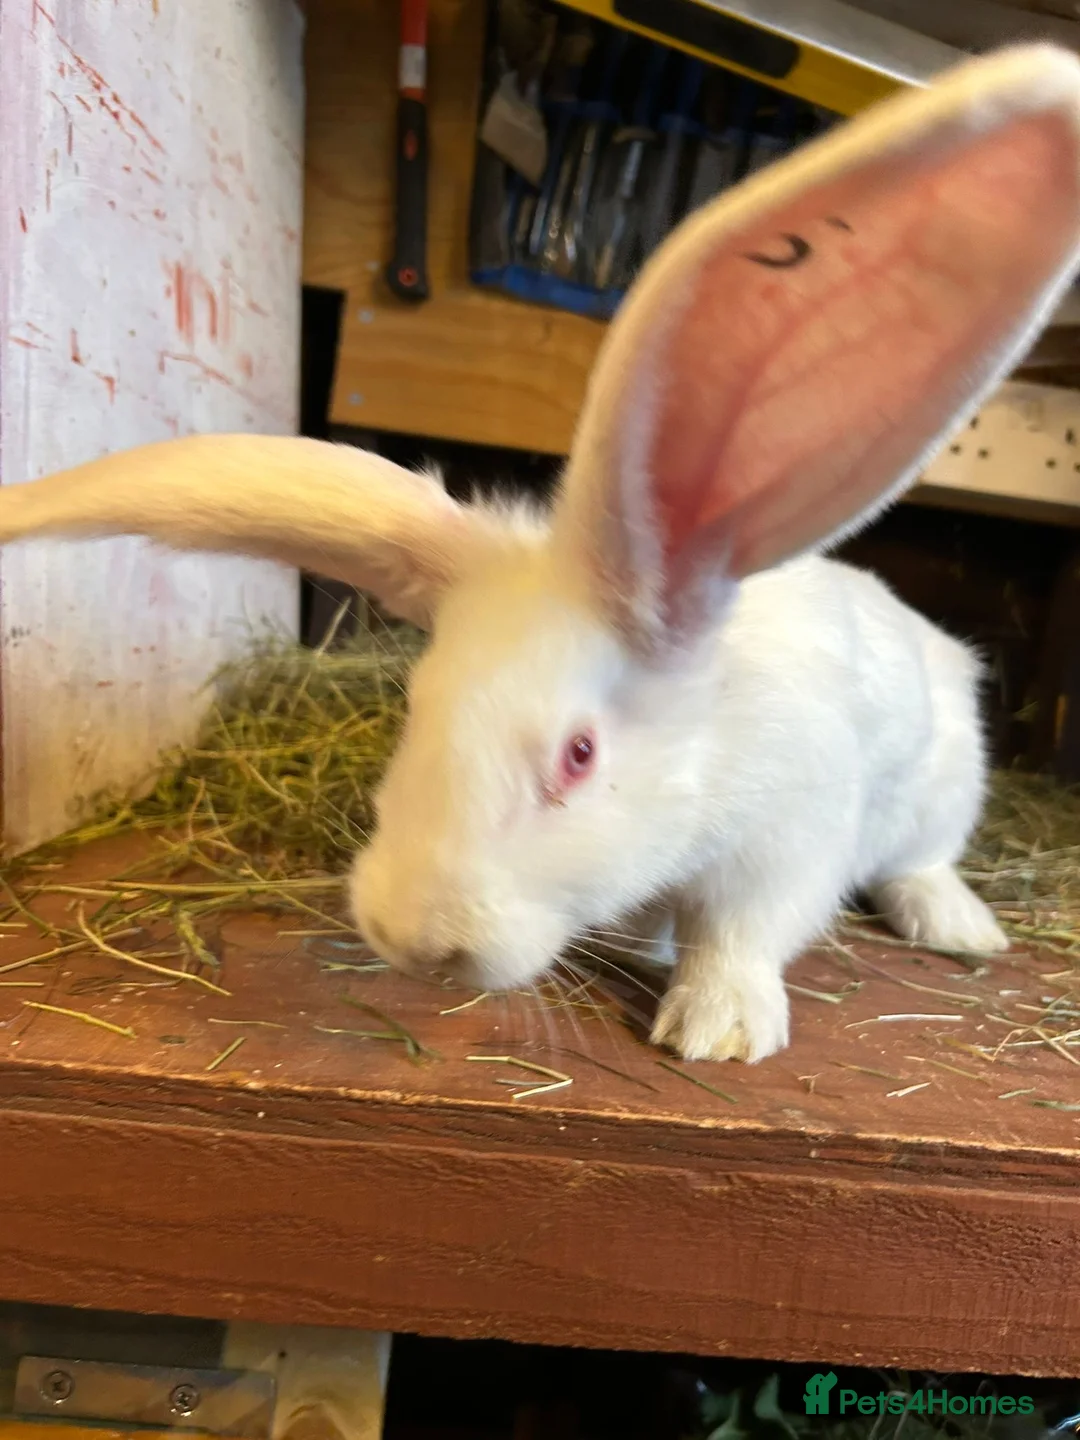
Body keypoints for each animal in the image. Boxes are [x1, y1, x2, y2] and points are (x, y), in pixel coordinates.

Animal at [3, 44, 1080, 1062]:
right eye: (417, 704)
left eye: (578, 755)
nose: (414, 938)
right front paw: (655, 955)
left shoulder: (783, 847)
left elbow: (740, 938)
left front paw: (718, 1031)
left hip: (941, 790)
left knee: (920, 862)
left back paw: (962, 930)